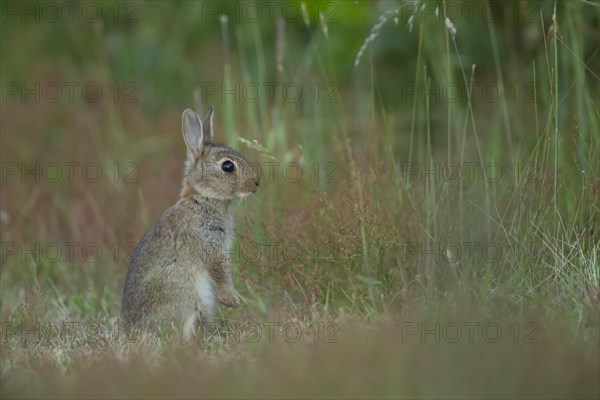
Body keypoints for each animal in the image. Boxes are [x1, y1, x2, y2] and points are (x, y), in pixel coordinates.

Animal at [122, 107, 260, 340]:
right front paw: (233, 300)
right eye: (228, 166)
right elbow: (219, 273)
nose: (257, 183)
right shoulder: (208, 246)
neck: (203, 197)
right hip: (188, 297)